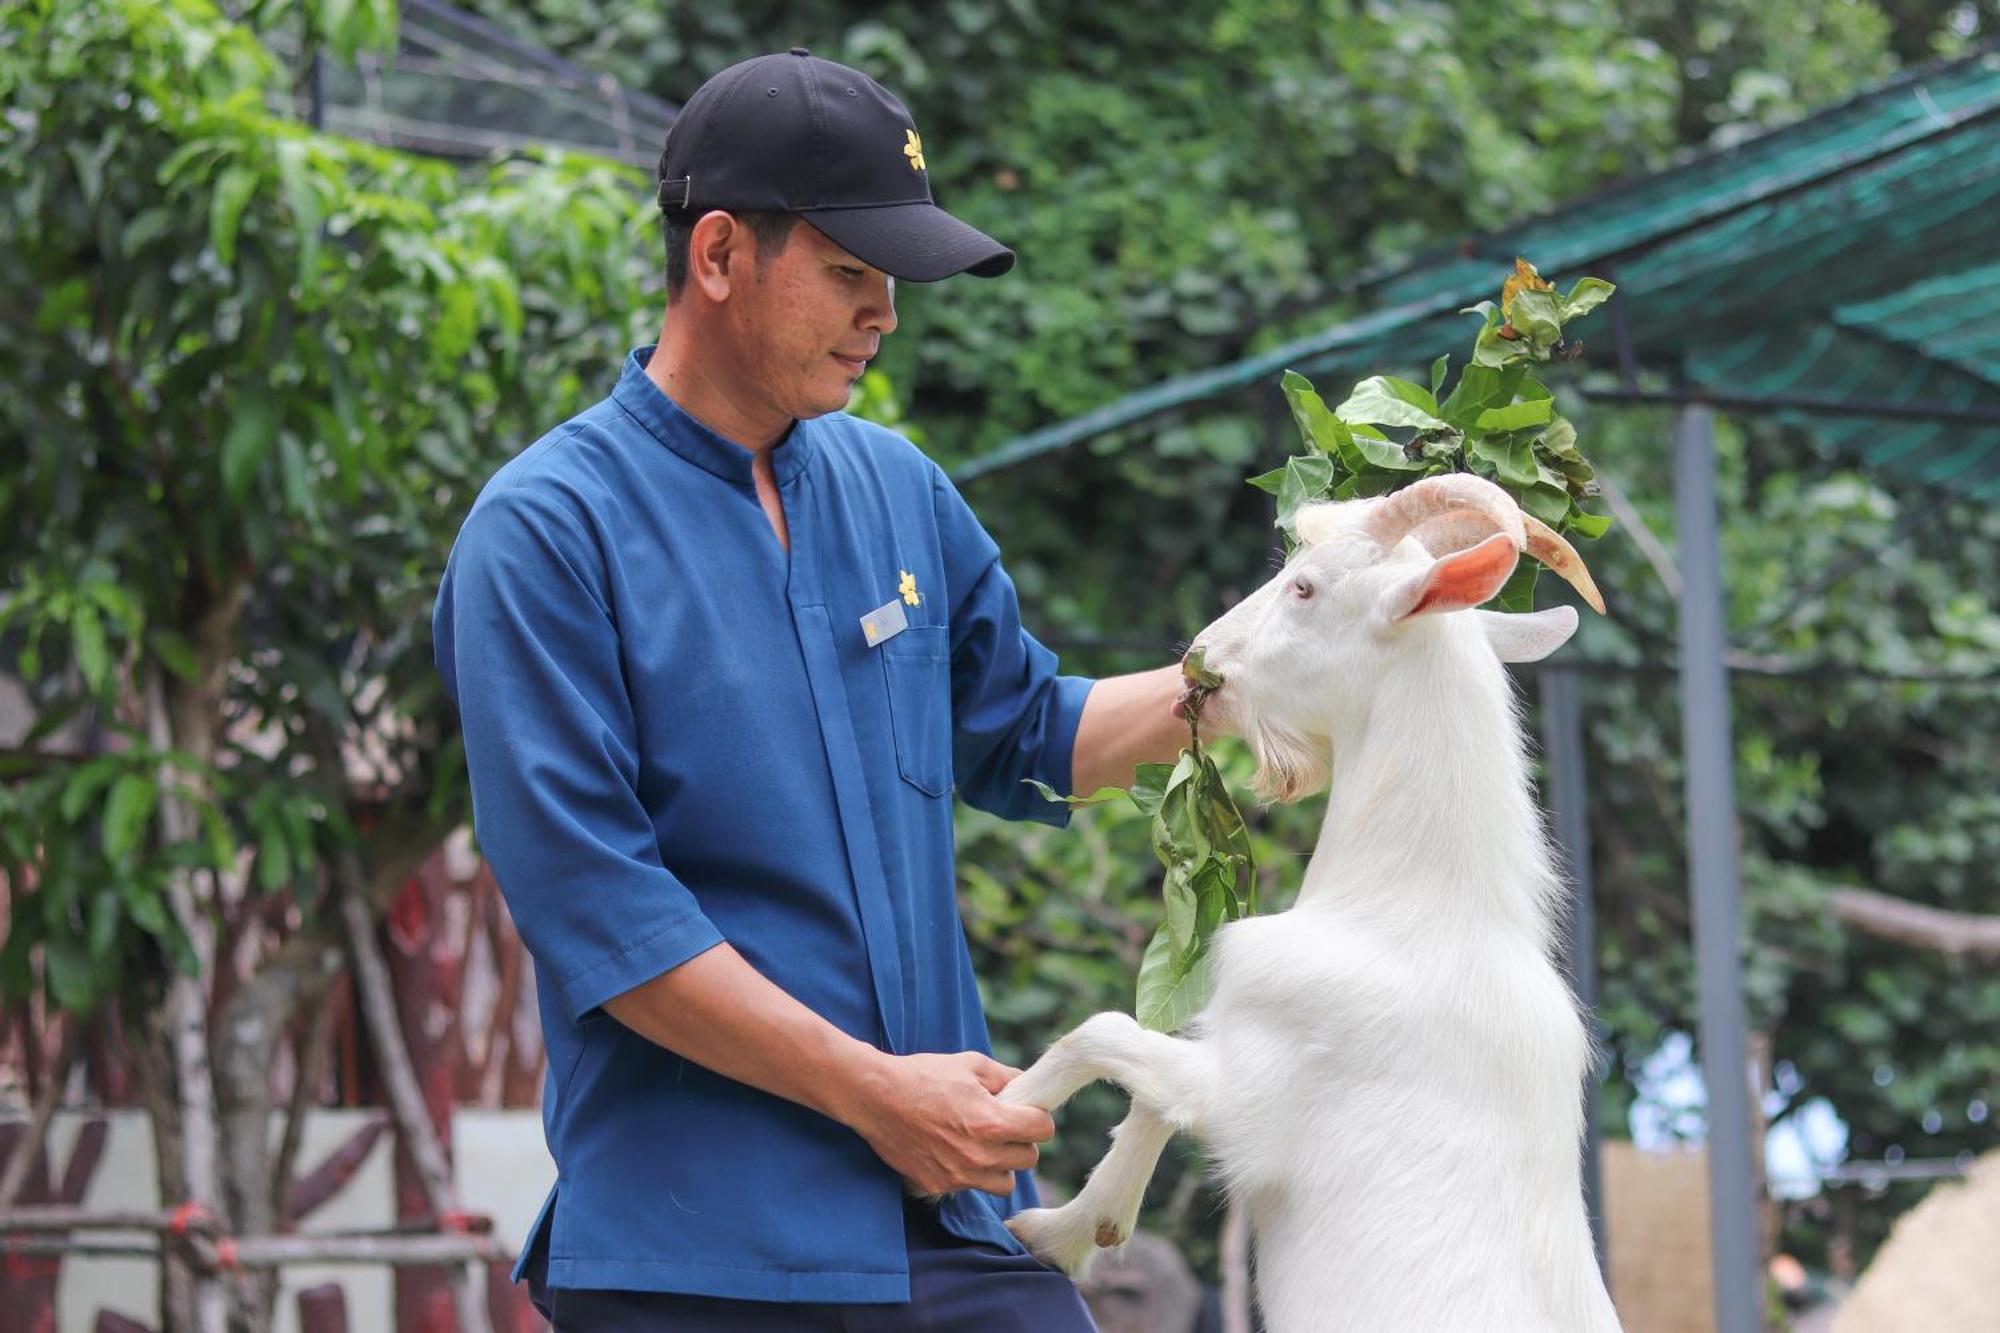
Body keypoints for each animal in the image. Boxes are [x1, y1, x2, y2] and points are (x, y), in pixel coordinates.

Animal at [1000, 472, 1624, 1328]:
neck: (1406, 915)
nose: (1199, 662)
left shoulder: (1248, 1092)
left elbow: (1106, 1037)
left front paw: (996, 1125)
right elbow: (1147, 1092)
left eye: (1305, 586)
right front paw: (1076, 1226)